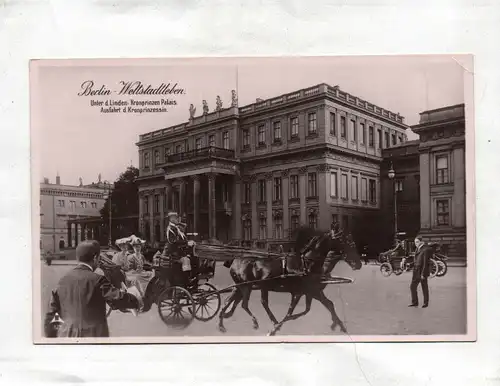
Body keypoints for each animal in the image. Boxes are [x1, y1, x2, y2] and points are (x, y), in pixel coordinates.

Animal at [217, 226, 362, 334]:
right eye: (346, 242)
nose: (358, 264)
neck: (306, 264)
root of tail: (235, 260)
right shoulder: (299, 292)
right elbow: (290, 312)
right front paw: (275, 329)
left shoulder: (312, 291)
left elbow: (327, 305)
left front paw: (340, 325)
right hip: (248, 286)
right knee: (247, 304)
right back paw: (258, 322)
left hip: (243, 287)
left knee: (230, 301)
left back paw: (222, 322)